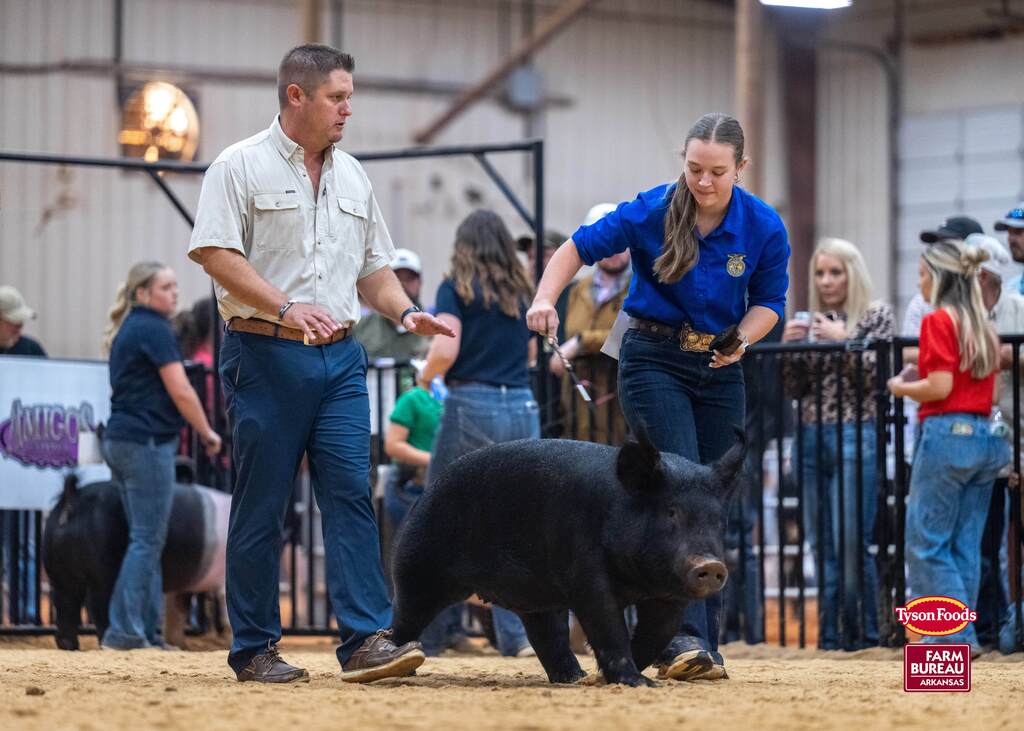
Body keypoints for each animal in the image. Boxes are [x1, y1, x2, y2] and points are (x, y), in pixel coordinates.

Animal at [42, 474, 229, 650]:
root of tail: (73, 499)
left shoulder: (182, 590)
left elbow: (177, 615)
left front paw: (178, 645)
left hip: (60, 573)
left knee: (64, 602)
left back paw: (69, 645)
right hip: (103, 572)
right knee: (97, 605)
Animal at [390, 429, 744, 686]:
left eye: (718, 520)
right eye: (671, 512)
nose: (711, 565)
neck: (637, 584)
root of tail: (428, 489)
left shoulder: (669, 596)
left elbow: (656, 634)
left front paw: (609, 679)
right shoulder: (585, 572)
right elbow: (607, 624)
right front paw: (636, 683)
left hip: (537, 597)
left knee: (547, 634)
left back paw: (574, 678)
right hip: (417, 564)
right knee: (406, 618)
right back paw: (400, 664)